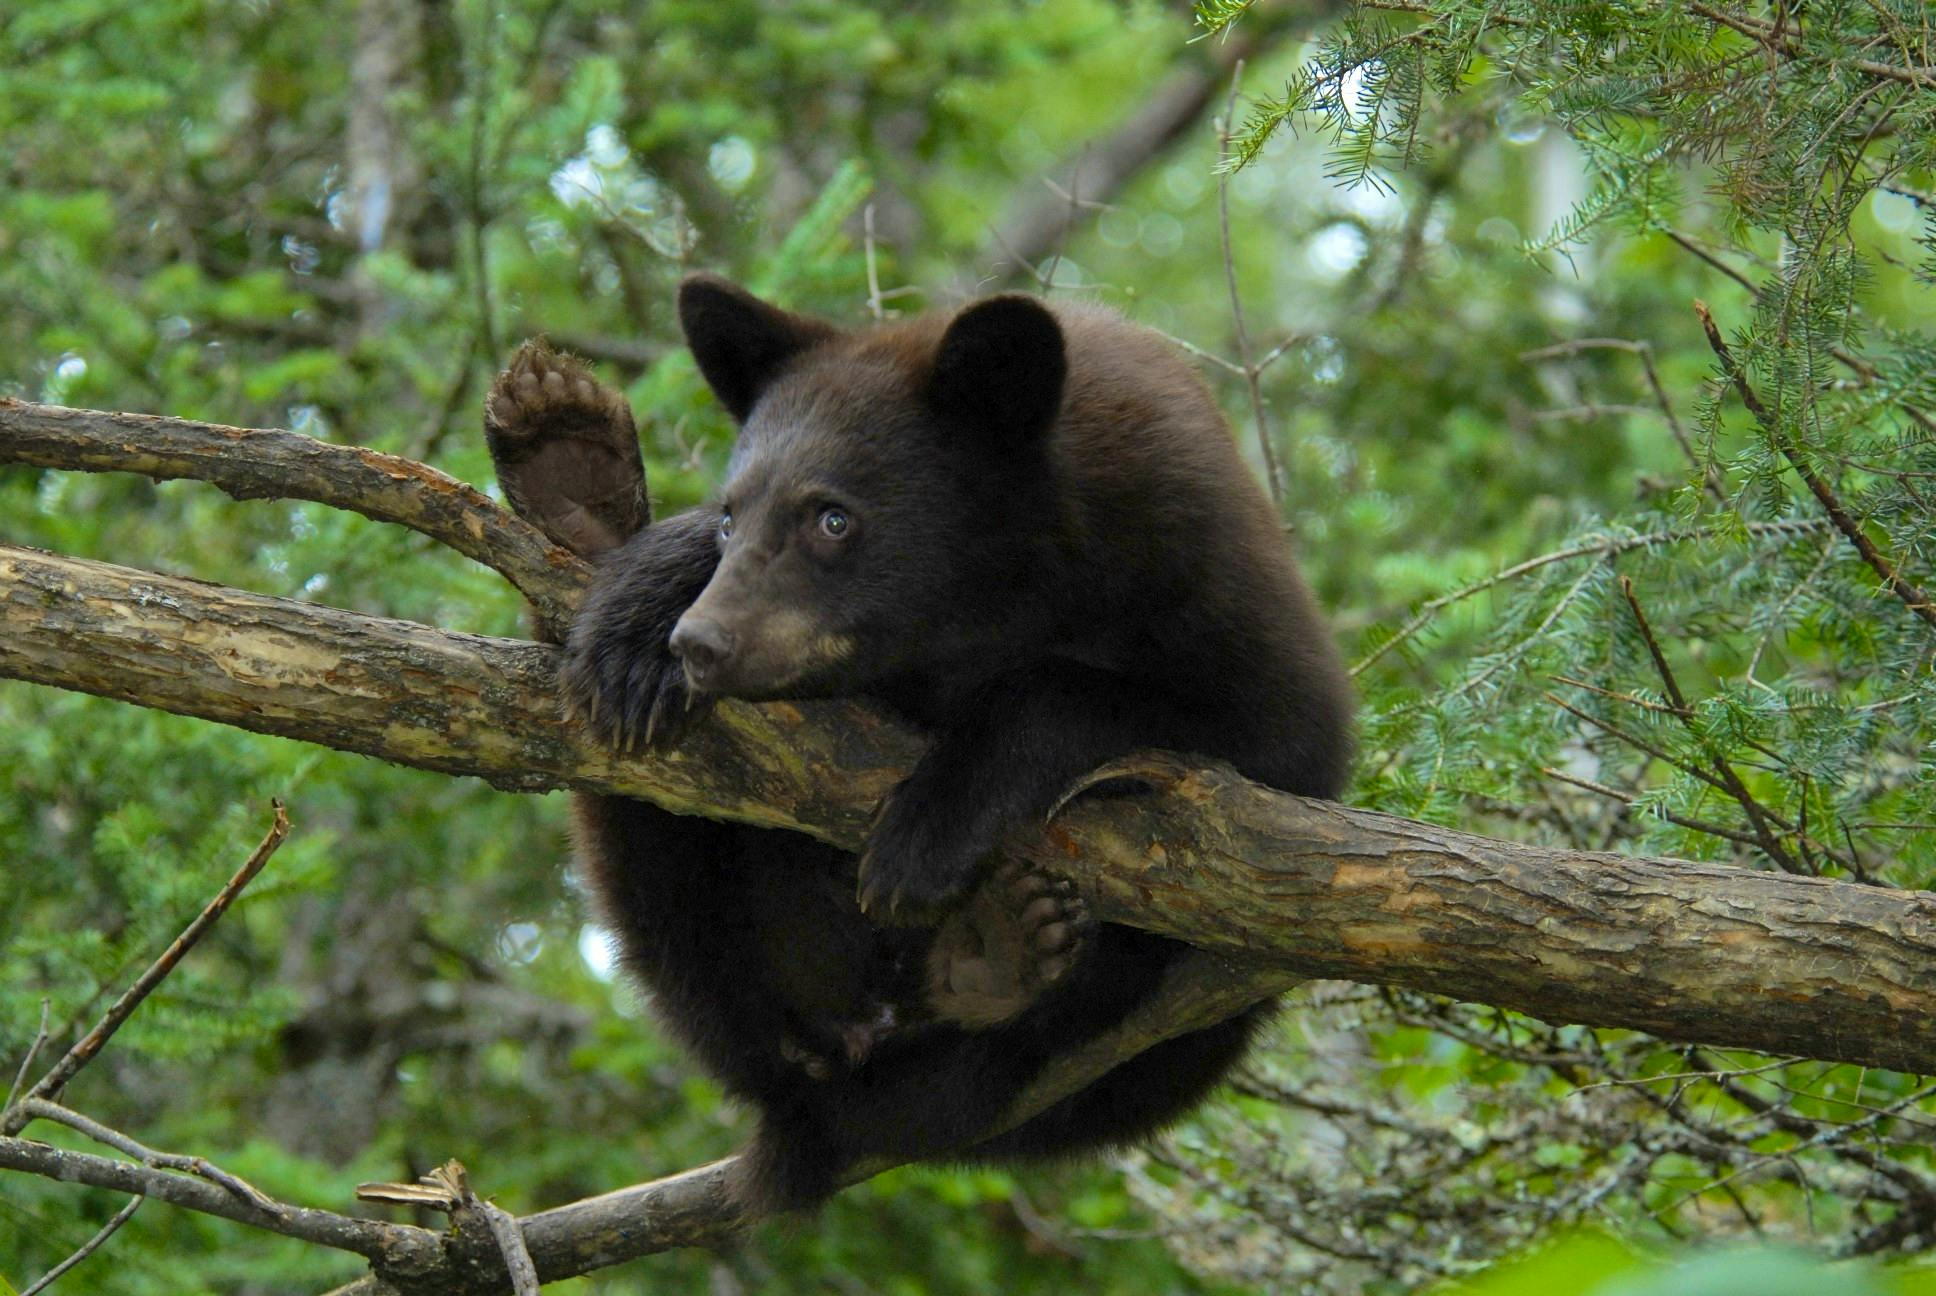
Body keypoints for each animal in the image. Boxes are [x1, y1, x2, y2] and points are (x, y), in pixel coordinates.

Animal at [482, 275, 1353, 1214]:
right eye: (728, 517)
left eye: (833, 518)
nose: (699, 644)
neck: (992, 607)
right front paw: (634, 628)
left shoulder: (1204, 573)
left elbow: (1234, 729)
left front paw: (926, 832)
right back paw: (573, 480)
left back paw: (996, 952)